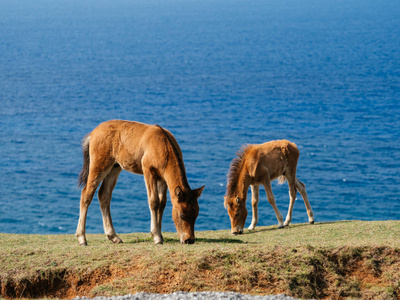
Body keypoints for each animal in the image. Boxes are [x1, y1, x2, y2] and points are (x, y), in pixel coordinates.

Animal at [76, 120, 205, 245]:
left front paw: (160, 235)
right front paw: (156, 237)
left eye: (196, 214)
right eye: (182, 215)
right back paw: (82, 238)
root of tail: (92, 134)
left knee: (104, 194)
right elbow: (154, 201)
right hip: (99, 164)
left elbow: (162, 202)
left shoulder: (162, 178)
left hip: (115, 167)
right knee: (86, 193)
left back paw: (114, 237)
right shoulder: (148, 170)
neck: (163, 146)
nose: (189, 240)